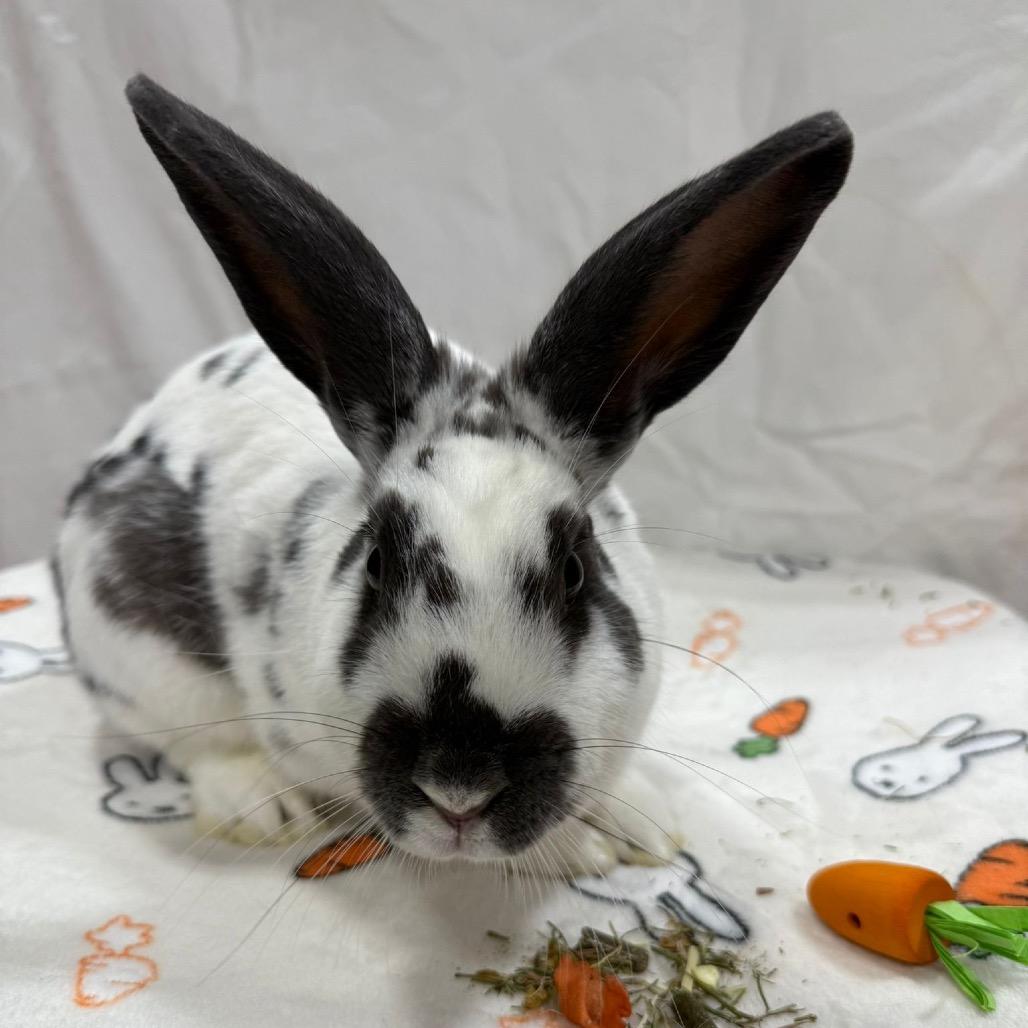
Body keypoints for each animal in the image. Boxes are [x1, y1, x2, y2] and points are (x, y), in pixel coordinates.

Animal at [54, 74, 852, 875]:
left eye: (575, 571)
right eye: (376, 564)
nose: (460, 788)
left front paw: (642, 825)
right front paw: (586, 847)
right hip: (135, 648)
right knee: (198, 741)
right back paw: (263, 811)